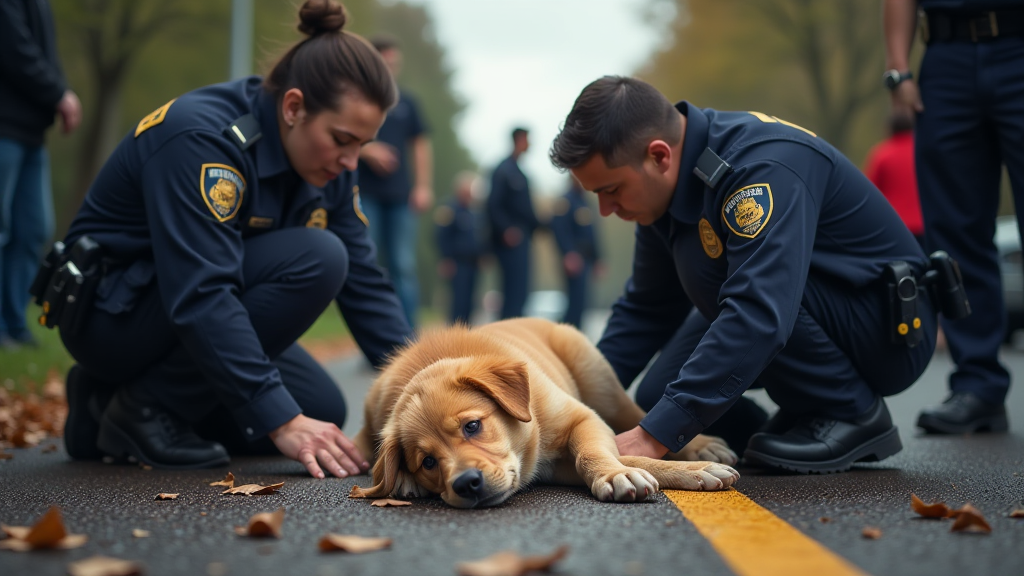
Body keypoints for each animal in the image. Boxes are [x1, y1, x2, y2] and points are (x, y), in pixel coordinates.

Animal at [352, 317, 737, 506]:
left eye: (472, 426)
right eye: (428, 462)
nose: (466, 484)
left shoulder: (584, 419)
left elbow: (597, 453)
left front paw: (619, 474)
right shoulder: (554, 466)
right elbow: (625, 457)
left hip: (599, 380)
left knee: (639, 415)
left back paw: (702, 445)